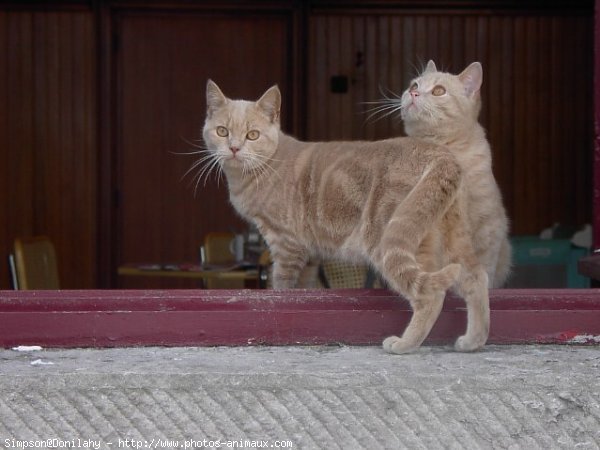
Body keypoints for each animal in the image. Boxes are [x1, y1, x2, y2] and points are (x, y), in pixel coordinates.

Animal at [199, 81, 490, 356]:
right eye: (222, 131)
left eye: (252, 135)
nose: (234, 148)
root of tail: (438, 154)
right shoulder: (310, 255)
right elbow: (303, 290)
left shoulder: (285, 244)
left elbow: (282, 285)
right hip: (454, 239)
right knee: (477, 279)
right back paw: (473, 341)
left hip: (393, 241)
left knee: (431, 294)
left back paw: (405, 344)